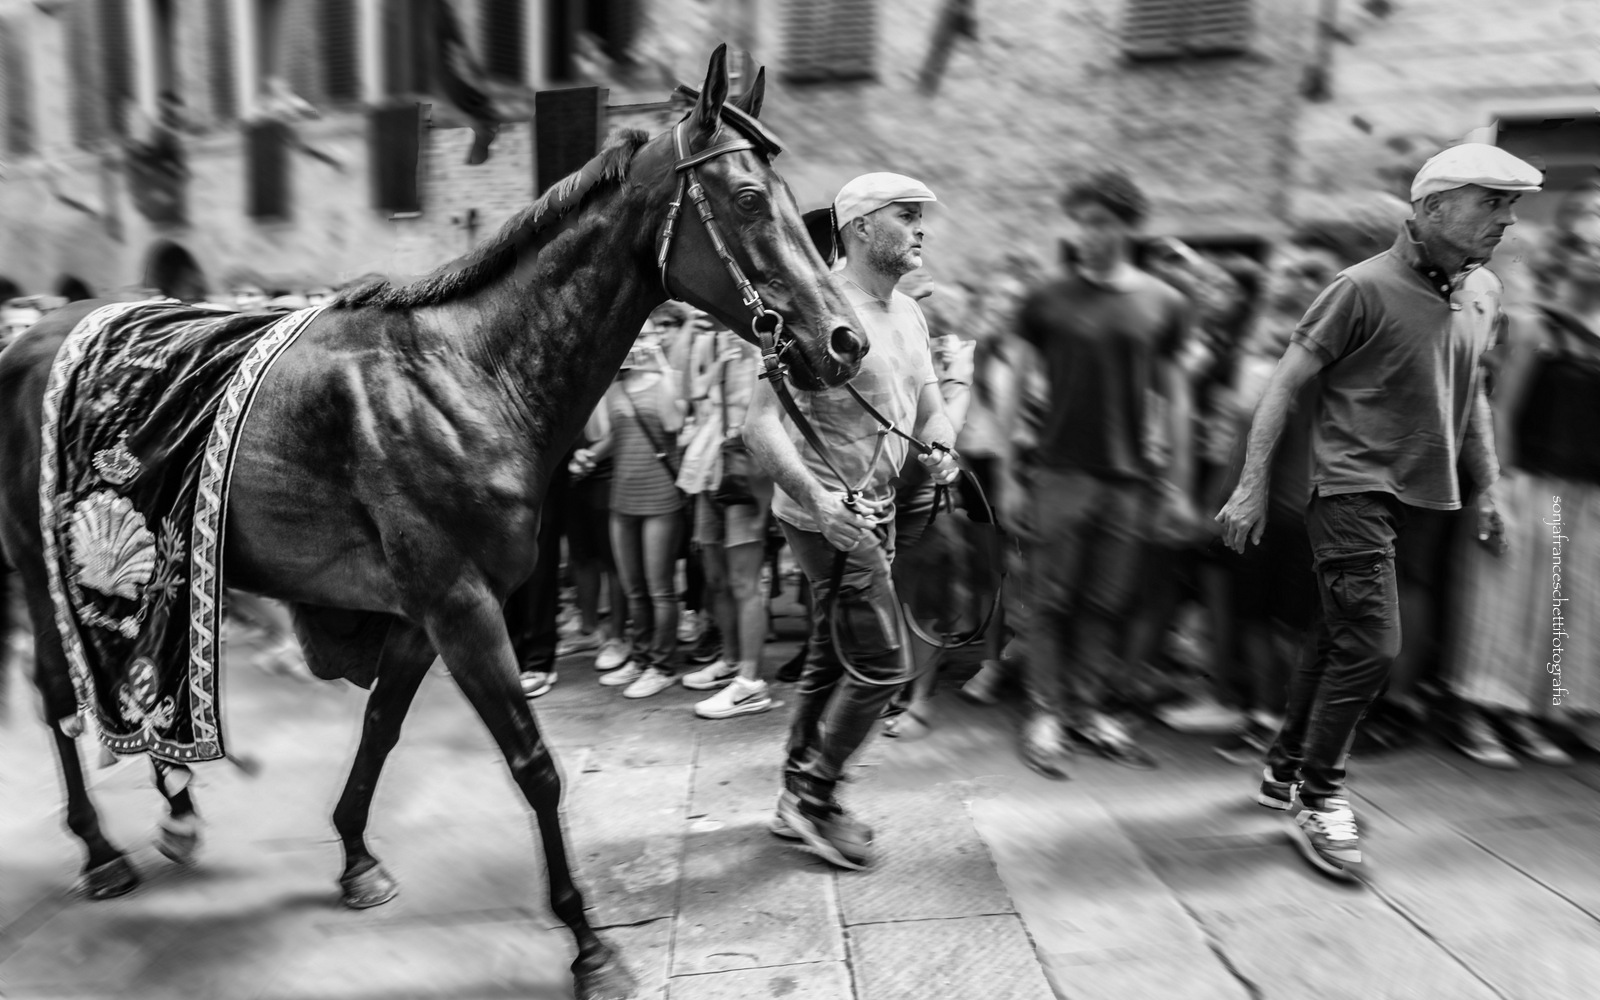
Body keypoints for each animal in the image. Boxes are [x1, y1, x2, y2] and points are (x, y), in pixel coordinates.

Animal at [0, 48, 864, 998]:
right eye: (747, 199)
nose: (846, 341)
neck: (472, 375)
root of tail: (30, 335)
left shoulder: (425, 613)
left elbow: (381, 727)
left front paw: (354, 855)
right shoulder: (462, 608)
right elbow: (534, 766)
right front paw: (588, 941)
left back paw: (178, 804)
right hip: (40, 563)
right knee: (56, 690)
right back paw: (99, 850)